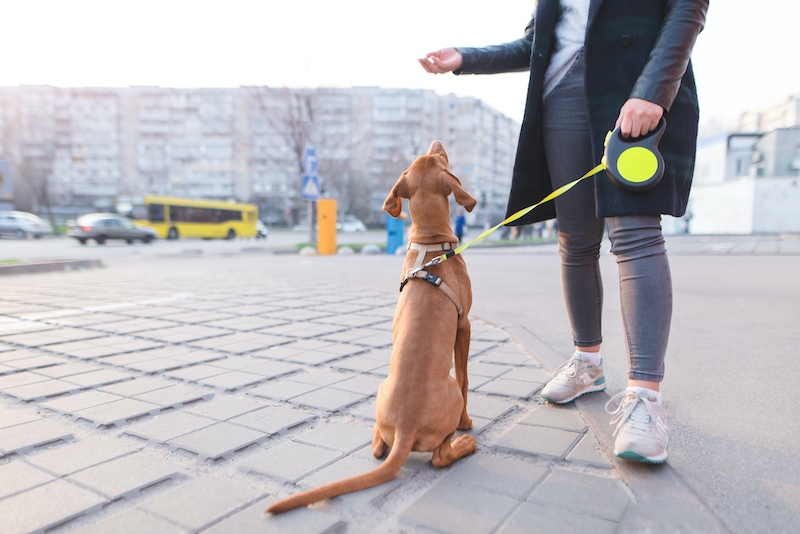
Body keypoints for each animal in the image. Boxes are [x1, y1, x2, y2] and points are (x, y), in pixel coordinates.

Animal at [268, 141, 478, 516]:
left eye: (427, 157)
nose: (438, 143)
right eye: (439, 159)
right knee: (440, 455)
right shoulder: (464, 323)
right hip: (449, 398)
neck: (430, 246)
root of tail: (407, 428)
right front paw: (468, 421)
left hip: (381, 393)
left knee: (379, 448)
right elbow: (467, 377)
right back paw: (464, 442)